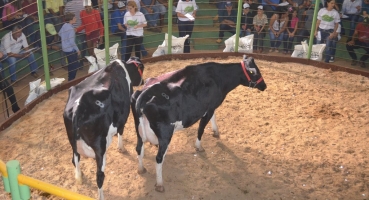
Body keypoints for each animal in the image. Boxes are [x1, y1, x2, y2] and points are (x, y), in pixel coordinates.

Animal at [63, 57, 144, 199]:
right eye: (142, 69)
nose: (143, 81)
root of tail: (77, 108)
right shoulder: (123, 114)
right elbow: (121, 130)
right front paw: (121, 147)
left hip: (73, 142)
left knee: (74, 159)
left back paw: (79, 176)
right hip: (100, 148)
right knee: (100, 176)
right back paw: (101, 196)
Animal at [131, 55, 266, 192]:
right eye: (255, 72)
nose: (264, 86)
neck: (218, 77)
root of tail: (143, 93)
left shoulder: (210, 107)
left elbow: (213, 118)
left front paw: (216, 132)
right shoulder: (209, 109)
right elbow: (201, 128)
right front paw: (199, 146)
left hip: (138, 130)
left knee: (139, 148)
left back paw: (141, 169)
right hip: (165, 133)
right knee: (158, 158)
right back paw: (159, 184)